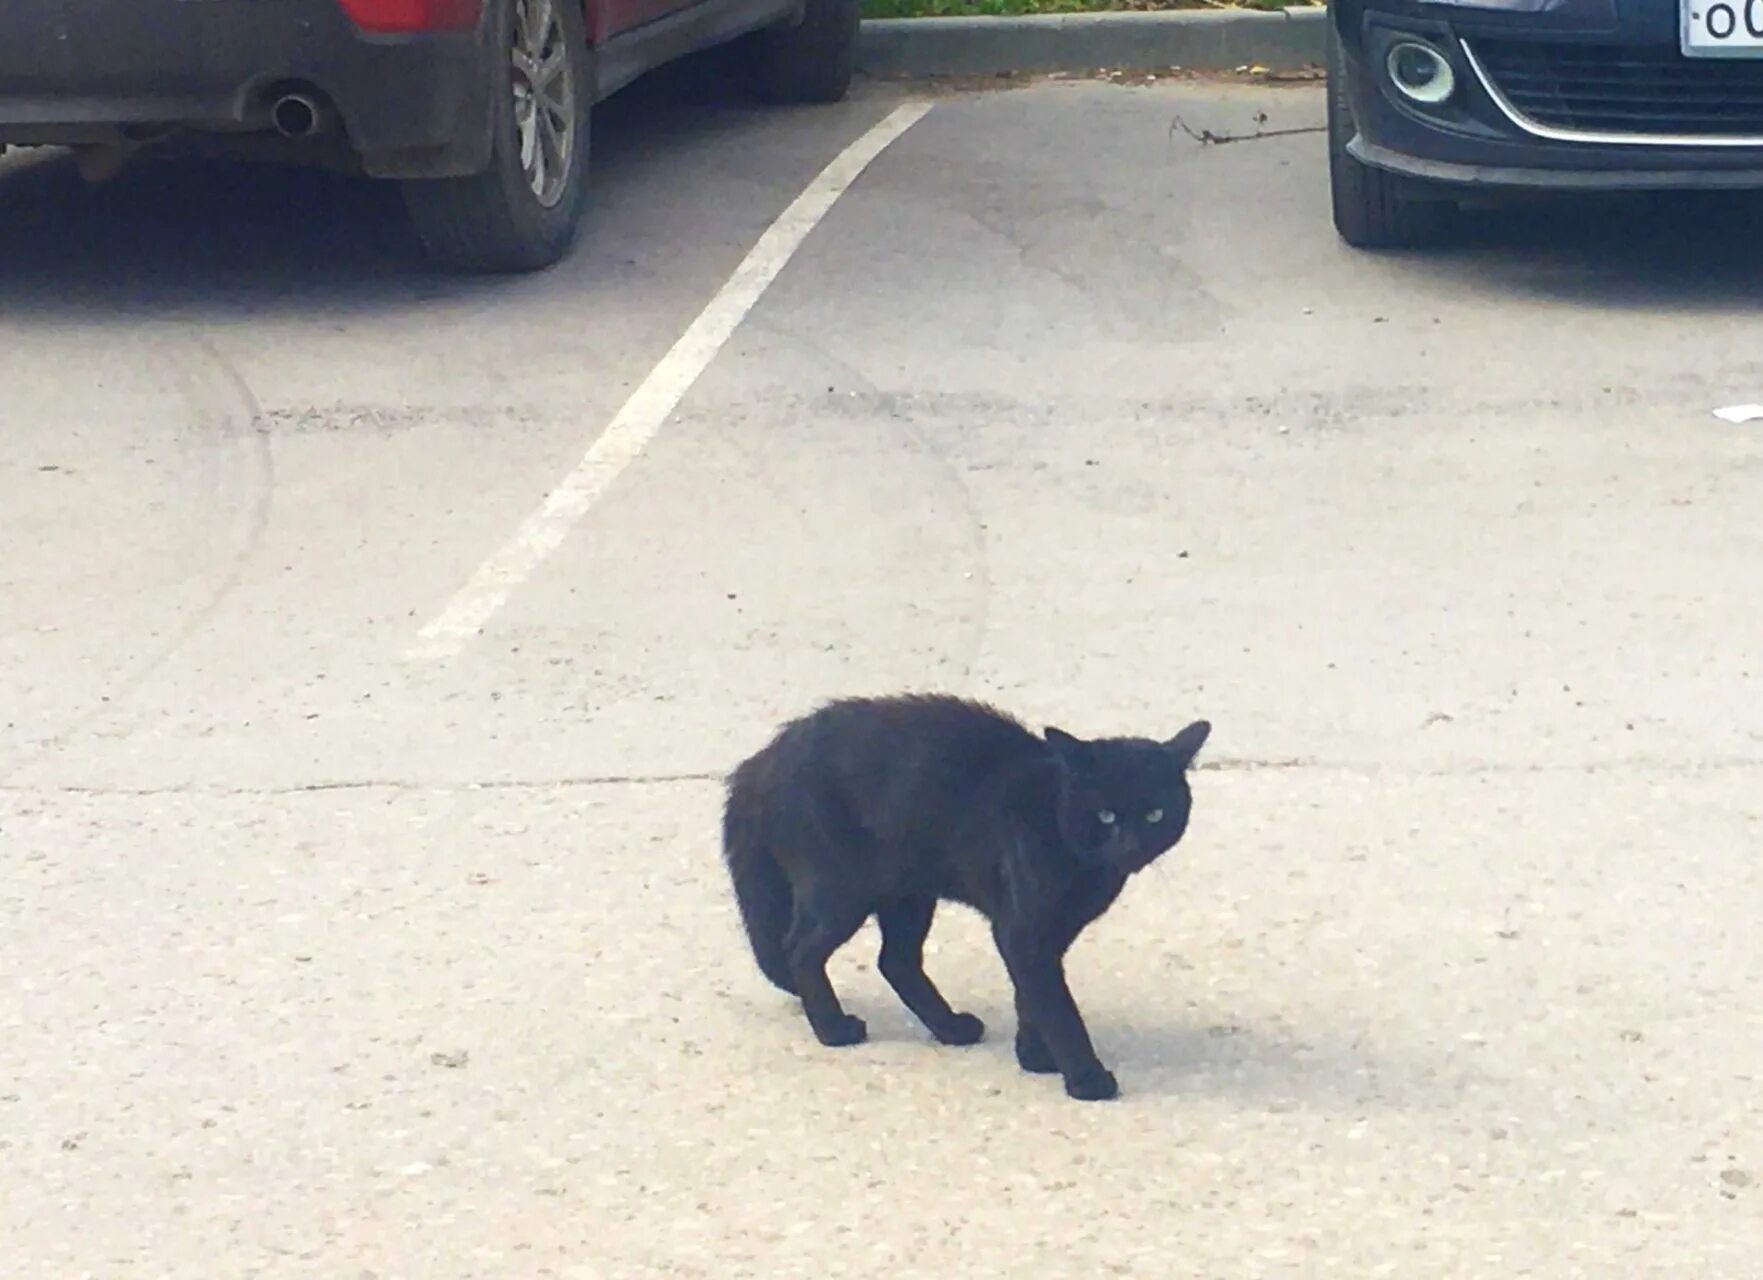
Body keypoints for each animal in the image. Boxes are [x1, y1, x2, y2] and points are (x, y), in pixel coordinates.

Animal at [719, 691, 1212, 1100]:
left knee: (895, 961)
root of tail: (759, 763)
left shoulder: (1048, 935)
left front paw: (1036, 1057)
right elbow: (1057, 1005)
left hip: (908, 893)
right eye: (1106, 815)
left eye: (1155, 814)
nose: (1130, 845)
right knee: (801, 948)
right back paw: (834, 1029)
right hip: (841, 889)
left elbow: (1031, 994)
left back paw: (950, 1027)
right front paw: (1084, 1077)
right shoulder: (1023, 929)